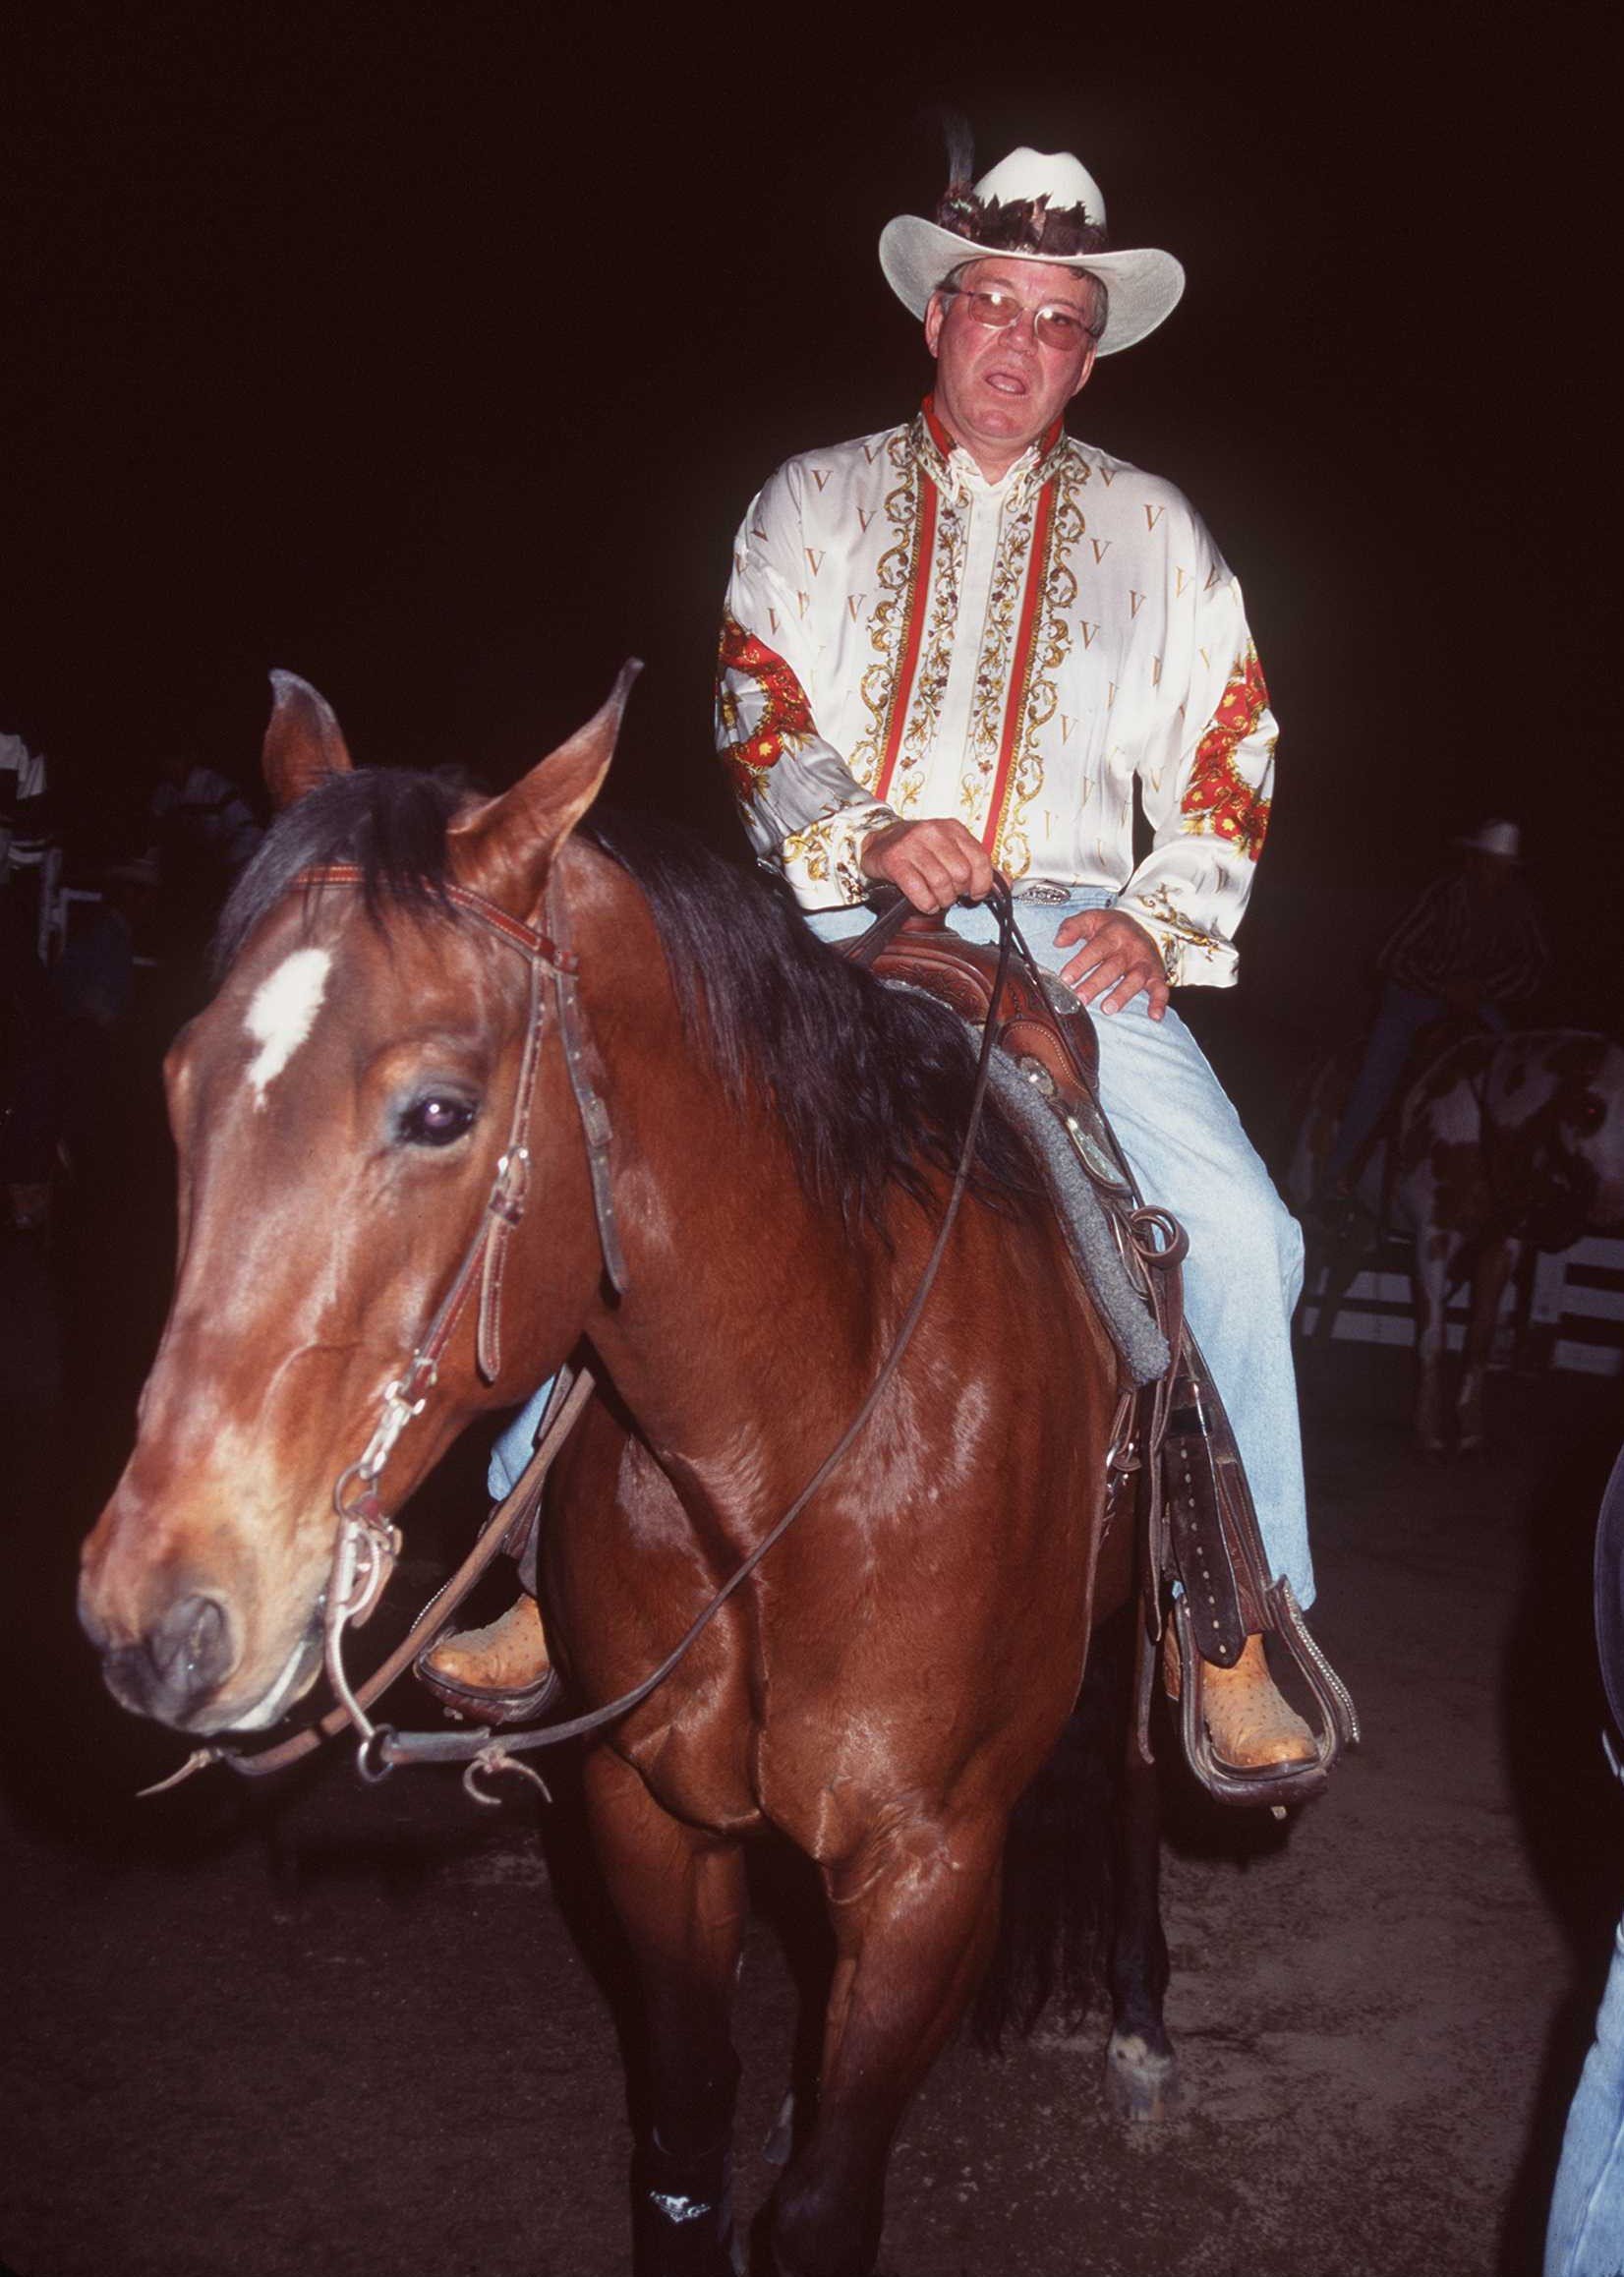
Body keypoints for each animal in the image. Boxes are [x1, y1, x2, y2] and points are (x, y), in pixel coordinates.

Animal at [79, 673, 1166, 2277]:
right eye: (178, 1081)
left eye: (438, 1110)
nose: (156, 1617)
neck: (791, 1456)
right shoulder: (652, 1821)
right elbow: (683, 2138)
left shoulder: (926, 1874)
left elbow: (825, 2201)